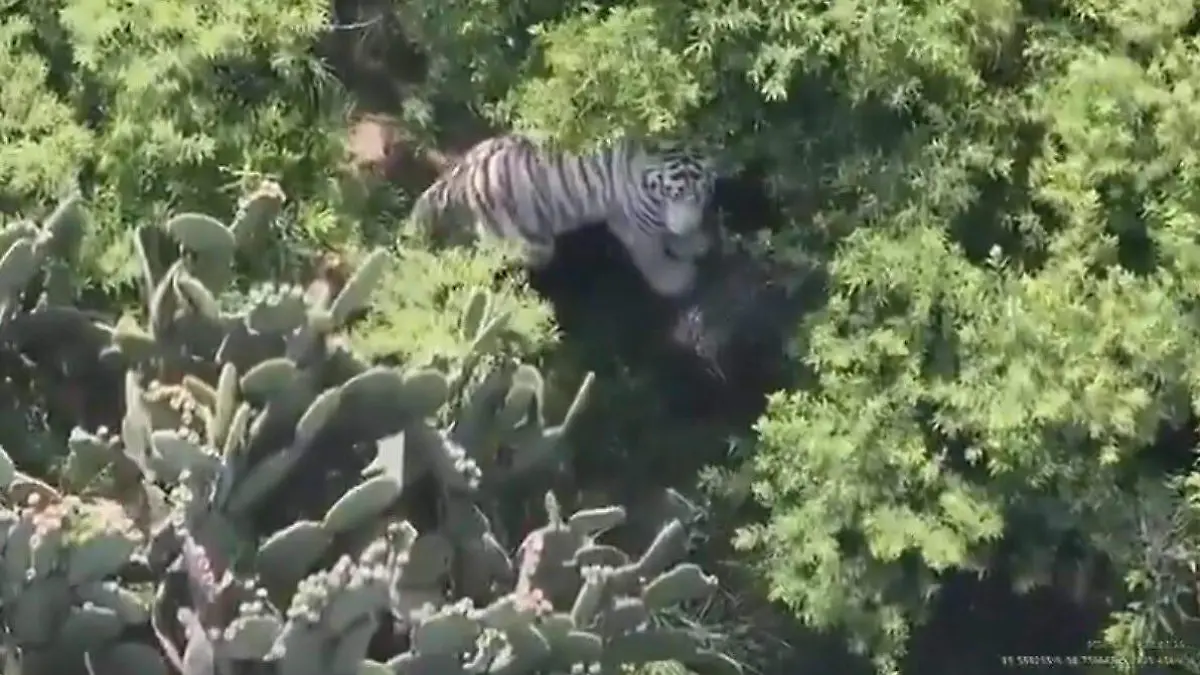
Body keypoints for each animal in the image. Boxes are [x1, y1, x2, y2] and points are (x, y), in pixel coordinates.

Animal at [407, 133, 717, 298]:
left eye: (700, 192)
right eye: (672, 192)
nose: (686, 226)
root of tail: (462, 176)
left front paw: (691, 241)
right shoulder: (639, 219)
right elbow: (652, 254)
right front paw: (676, 279)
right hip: (532, 245)